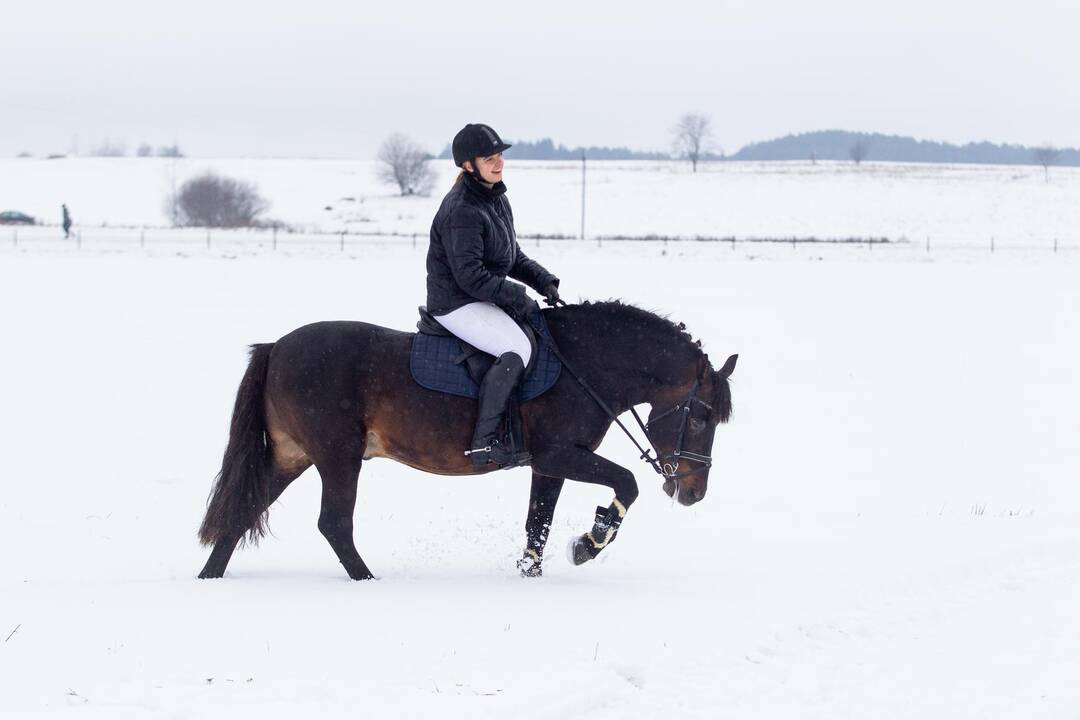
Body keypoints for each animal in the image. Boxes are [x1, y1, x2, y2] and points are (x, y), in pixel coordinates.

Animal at [196, 302, 734, 582]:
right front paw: (590, 543)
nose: (693, 493)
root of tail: (277, 347)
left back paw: (210, 576)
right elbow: (626, 484)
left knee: (245, 507)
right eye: (702, 417)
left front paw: (532, 573)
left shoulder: (549, 464)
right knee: (333, 524)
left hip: (294, 456)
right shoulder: (560, 454)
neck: (584, 365)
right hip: (338, 457)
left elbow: (537, 522)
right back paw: (366, 581)